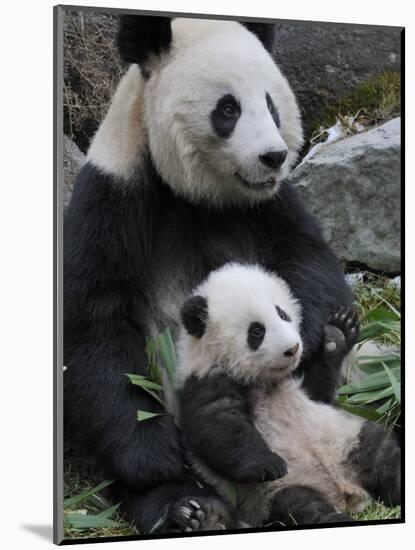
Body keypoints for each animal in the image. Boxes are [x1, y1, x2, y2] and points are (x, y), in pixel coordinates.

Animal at [64, 15, 354, 536]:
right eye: (228, 108)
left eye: (271, 104)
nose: (273, 156)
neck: (195, 193)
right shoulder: (114, 196)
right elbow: (94, 324)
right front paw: (155, 458)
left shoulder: (270, 204)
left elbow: (308, 260)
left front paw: (309, 343)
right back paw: (191, 509)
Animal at [175, 266, 400, 532]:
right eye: (257, 331)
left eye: (282, 314)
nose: (292, 349)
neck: (262, 380)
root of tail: (346, 494)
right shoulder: (204, 380)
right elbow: (219, 426)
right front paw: (268, 464)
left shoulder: (301, 386)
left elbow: (319, 391)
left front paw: (338, 334)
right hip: (277, 493)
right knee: (302, 506)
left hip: (348, 439)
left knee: (383, 456)